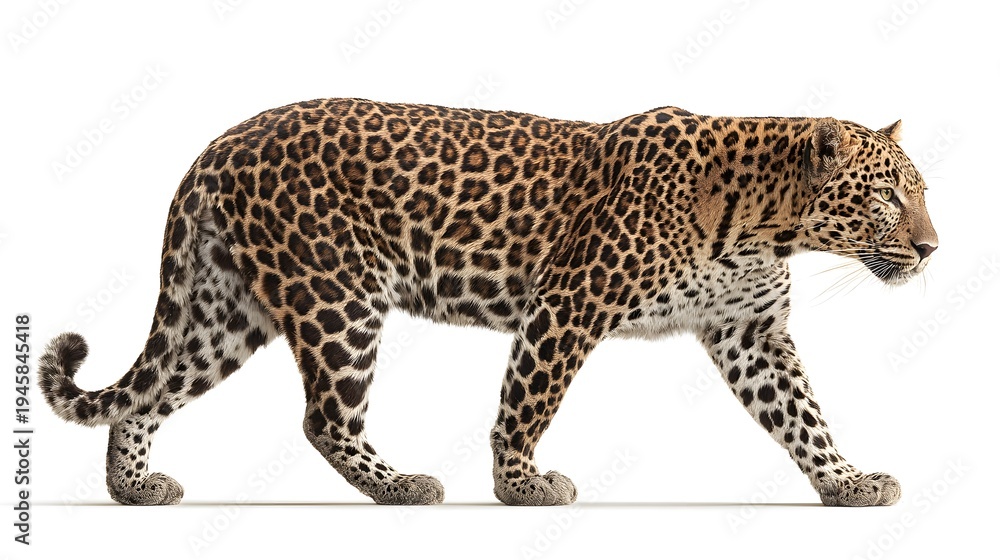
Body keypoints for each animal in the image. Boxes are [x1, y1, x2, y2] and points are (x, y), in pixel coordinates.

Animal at [39, 98, 937, 507]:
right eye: (887, 197)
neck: (769, 224)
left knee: (148, 394)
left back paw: (133, 489)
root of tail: (218, 144)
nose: (932, 249)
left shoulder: (750, 332)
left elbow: (803, 415)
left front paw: (847, 482)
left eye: (919, 194)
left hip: (227, 308)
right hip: (338, 296)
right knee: (324, 419)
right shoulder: (569, 302)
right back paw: (401, 486)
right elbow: (526, 403)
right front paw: (521, 486)